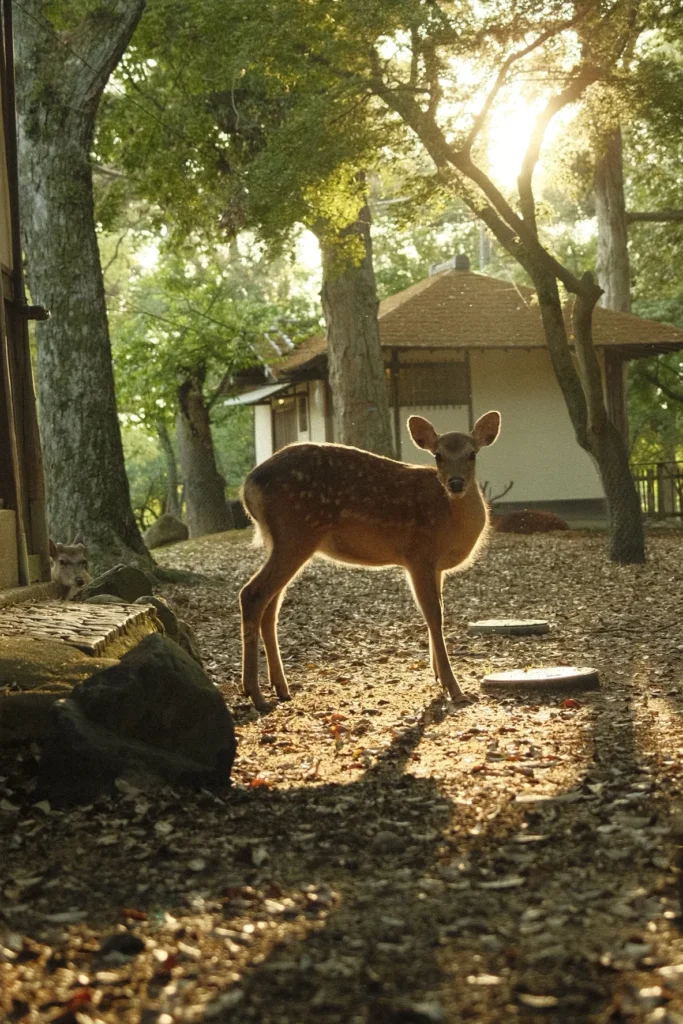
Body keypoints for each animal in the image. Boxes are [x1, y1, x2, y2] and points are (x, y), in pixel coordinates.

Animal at [239, 411, 501, 712]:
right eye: (438, 455)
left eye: (472, 454)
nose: (456, 483)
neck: (450, 519)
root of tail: (248, 486)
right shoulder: (418, 554)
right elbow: (434, 615)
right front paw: (454, 689)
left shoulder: (436, 567)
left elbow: (438, 612)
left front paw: (438, 677)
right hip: (297, 532)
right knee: (252, 594)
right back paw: (255, 693)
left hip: (285, 541)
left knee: (271, 605)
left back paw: (280, 688)